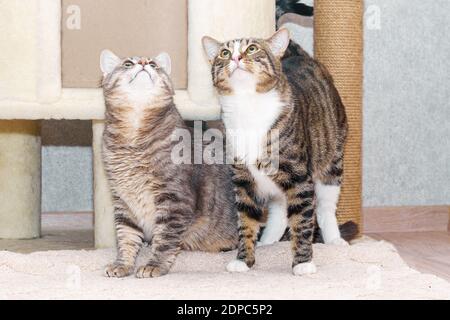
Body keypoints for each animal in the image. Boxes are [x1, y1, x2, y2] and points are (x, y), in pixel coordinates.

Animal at [100, 49, 237, 278]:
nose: (144, 62)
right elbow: (126, 237)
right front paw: (122, 264)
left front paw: (154, 265)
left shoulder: (175, 199)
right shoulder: (123, 202)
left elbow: (165, 240)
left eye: (154, 64)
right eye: (128, 63)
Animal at [202, 29, 354, 276]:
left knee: (325, 206)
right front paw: (244, 260)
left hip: (331, 161)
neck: (248, 108)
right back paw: (268, 242)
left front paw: (303, 263)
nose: (235, 57)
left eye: (252, 48)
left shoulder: (299, 177)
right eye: (224, 53)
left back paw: (334, 240)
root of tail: (303, 56)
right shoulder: (243, 178)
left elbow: (302, 222)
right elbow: (246, 222)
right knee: (280, 210)